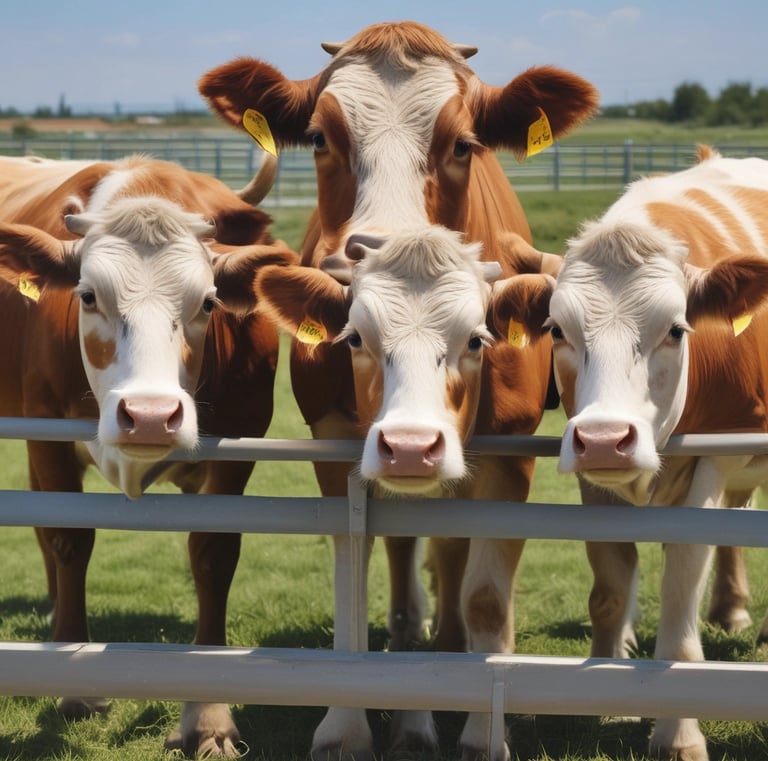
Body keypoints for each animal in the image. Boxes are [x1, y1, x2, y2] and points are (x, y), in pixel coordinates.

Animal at [0, 153, 297, 758]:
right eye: (88, 295)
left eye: (208, 302)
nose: (152, 415)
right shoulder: (44, 434)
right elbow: (69, 540)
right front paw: (74, 682)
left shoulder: (239, 450)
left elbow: (213, 554)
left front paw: (208, 716)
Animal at [199, 20, 598, 760]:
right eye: (320, 138)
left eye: (463, 143)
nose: (369, 250)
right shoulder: (336, 438)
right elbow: (353, 576)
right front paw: (347, 724)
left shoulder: (509, 451)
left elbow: (484, 595)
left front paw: (480, 731)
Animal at [547, 146, 768, 761]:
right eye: (557, 331)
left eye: (676, 329)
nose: (606, 436)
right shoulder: (591, 470)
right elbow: (610, 586)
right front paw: (613, 693)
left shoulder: (711, 464)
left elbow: (679, 596)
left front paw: (678, 732)